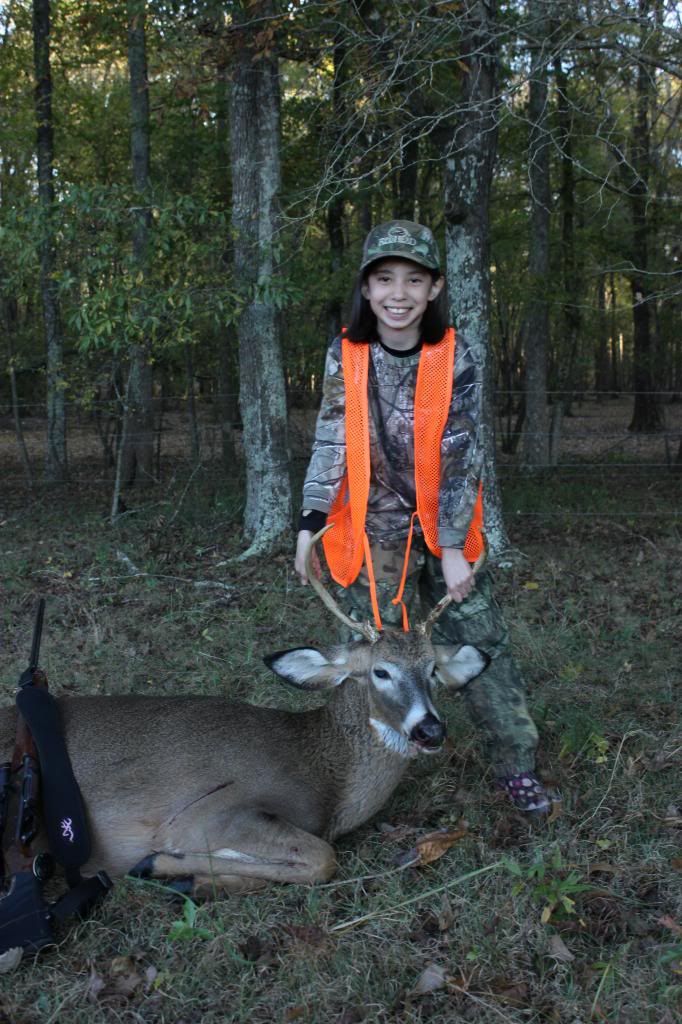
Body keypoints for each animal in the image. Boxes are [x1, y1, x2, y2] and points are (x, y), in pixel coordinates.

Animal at [0, 528, 487, 898]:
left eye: (432, 669)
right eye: (380, 671)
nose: (430, 729)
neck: (326, 779)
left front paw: (186, 878)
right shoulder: (209, 811)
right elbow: (322, 858)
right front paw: (159, 864)